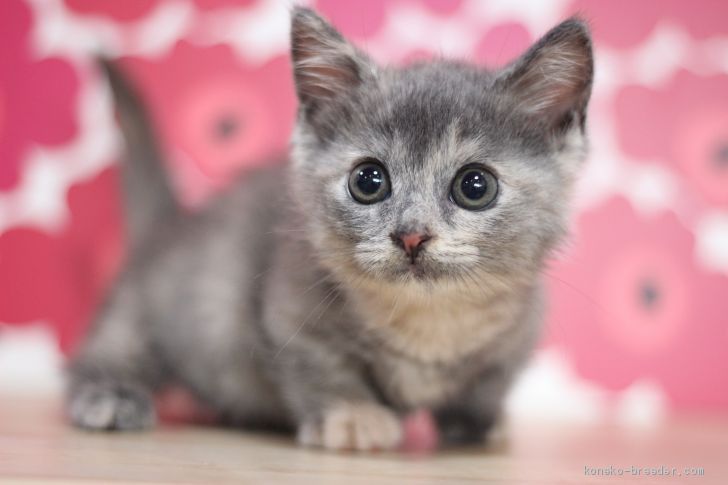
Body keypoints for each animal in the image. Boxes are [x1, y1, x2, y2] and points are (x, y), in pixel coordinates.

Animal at [67, 6, 592, 450]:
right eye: (368, 181)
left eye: (475, 186)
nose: (411, 234)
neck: (429, 318)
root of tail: (174, 223)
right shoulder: (290, 305)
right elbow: (321, 365)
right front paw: (353, 414)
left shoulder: (519, 331)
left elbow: (491, 381)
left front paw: (481, 422)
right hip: (151, 306)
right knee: (108, 350)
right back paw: (108, 394)